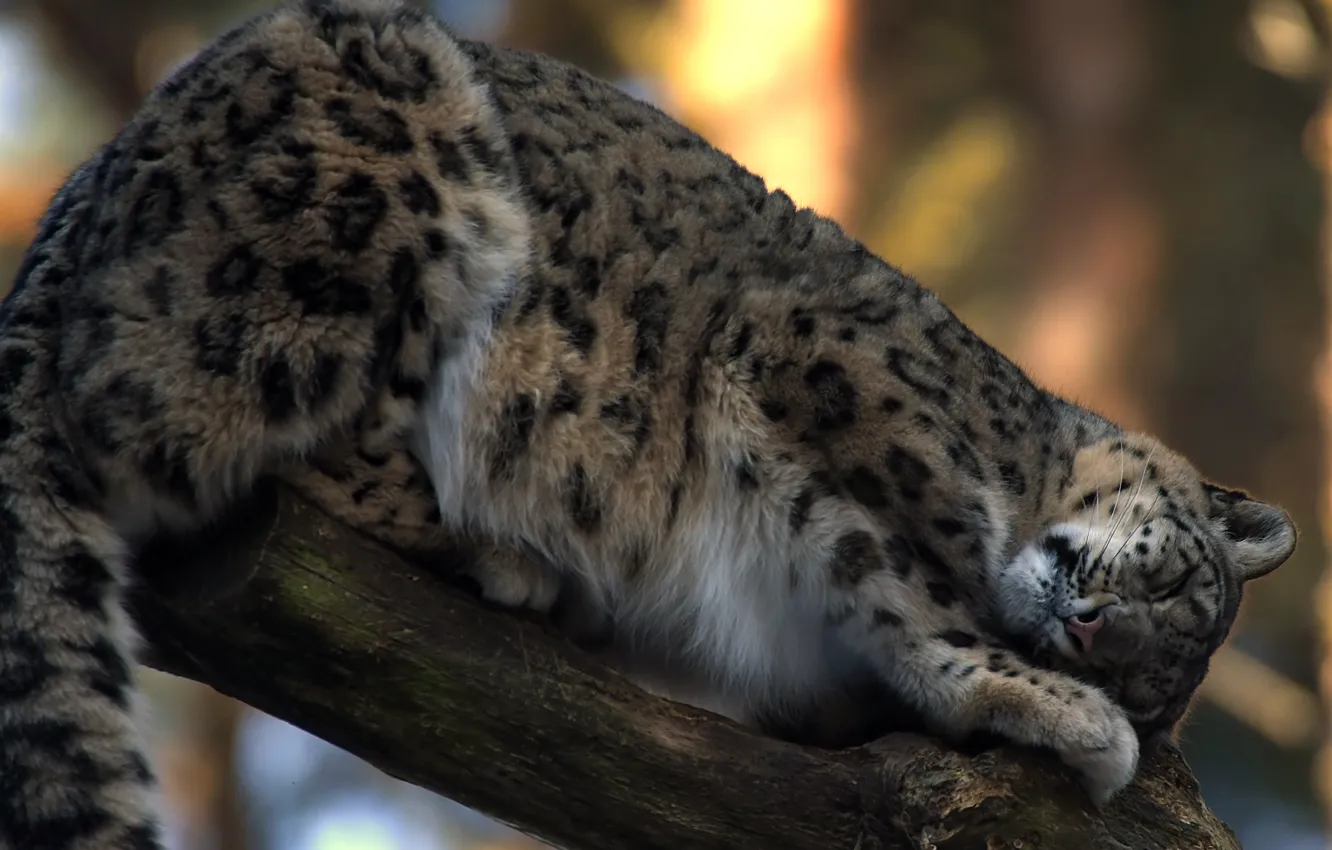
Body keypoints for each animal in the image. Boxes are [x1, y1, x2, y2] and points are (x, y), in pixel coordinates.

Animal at [0, 0, 1297, 847]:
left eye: (1157, 663)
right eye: (1173, 580)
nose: (1089, 636)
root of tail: (81, 188)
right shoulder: (819, 379)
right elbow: (907, 575)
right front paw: (1045, 706)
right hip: (378, 169)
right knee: (172, 415)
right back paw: (507, 552)